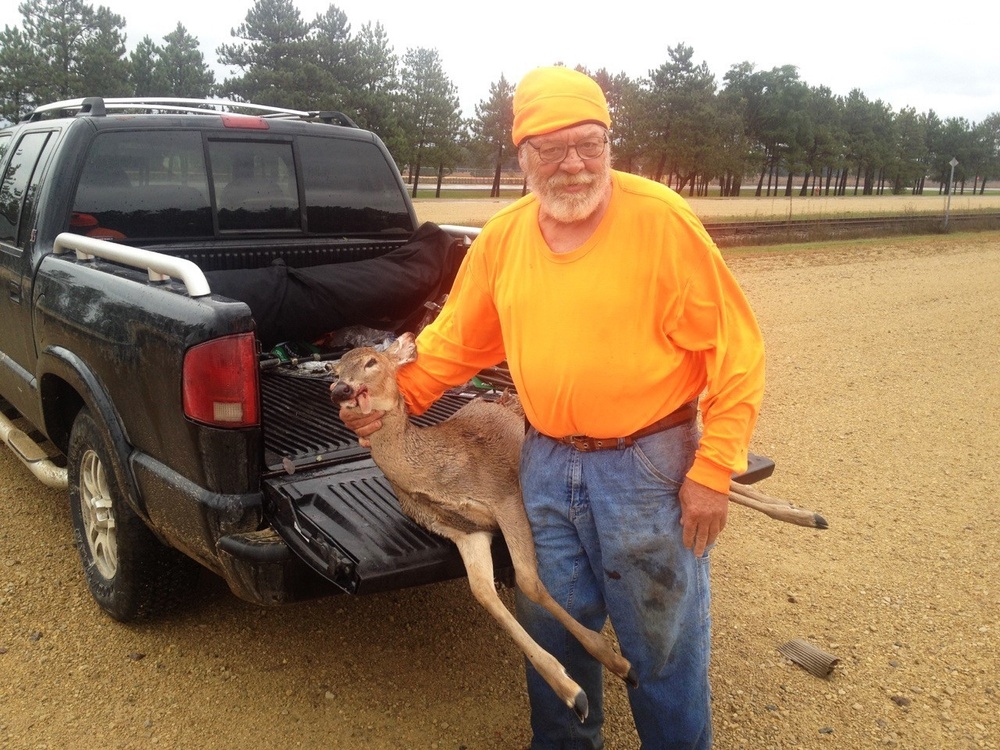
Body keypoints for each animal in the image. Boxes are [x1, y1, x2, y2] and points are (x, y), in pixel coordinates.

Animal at [332, 334, 636, 724]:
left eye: (371, 362)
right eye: (336, 369)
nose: (340, 389)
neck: (436, 475)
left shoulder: (507, 497)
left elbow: (529, 581)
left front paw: (612, 660)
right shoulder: (465, 531)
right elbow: (483, 592)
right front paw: (572, 690)